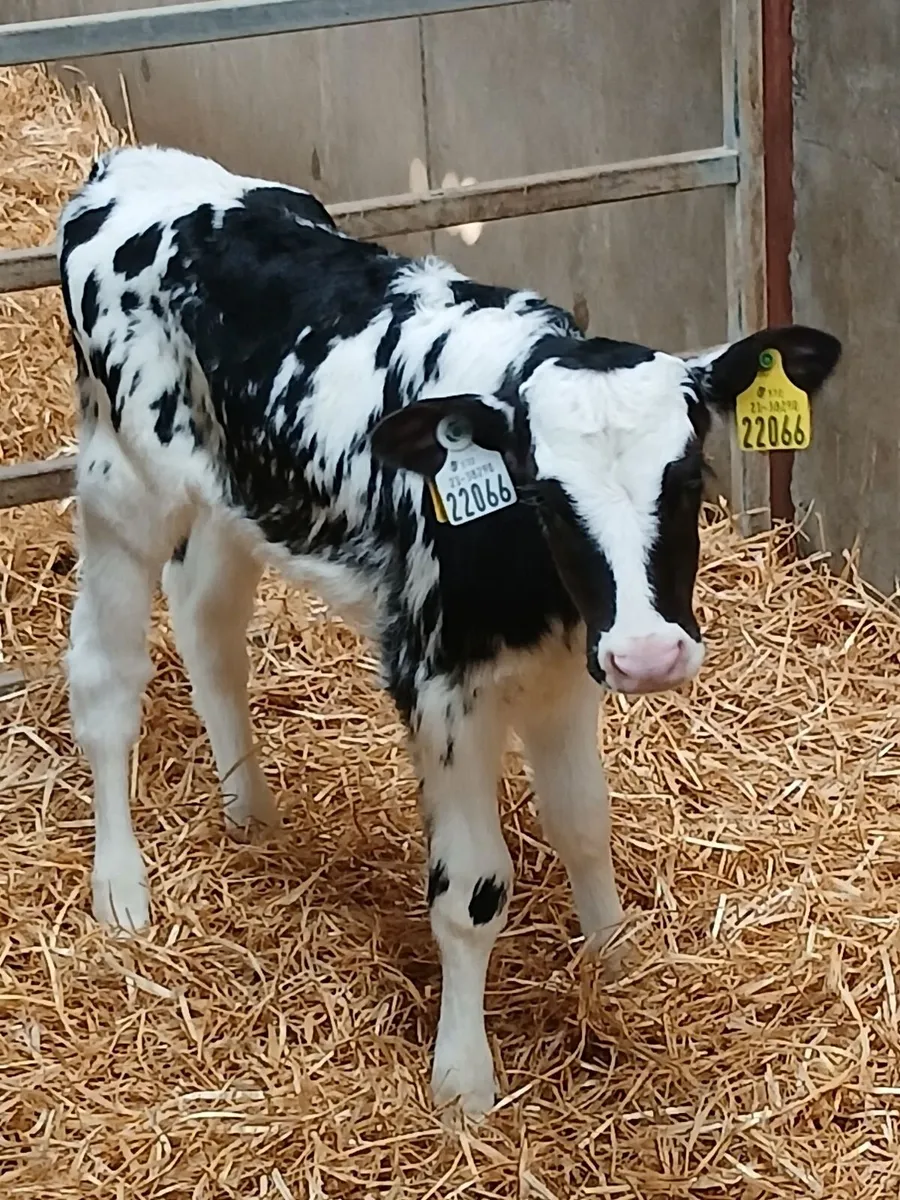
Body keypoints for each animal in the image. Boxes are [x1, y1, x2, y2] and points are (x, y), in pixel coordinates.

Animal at [57, 145, 841, 1117]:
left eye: (692, 474)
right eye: (542, 491)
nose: (650, 654)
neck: (540, 590)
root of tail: (127, 166)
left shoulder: (564, 670)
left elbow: (583, 823)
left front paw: (614, 963)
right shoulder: (439, 685)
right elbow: (471, 891)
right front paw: (463, 1081)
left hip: (238, 497)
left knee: (208, 624)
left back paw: (253, 814)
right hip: (120, 485)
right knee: (106, 681)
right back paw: (121, 886)